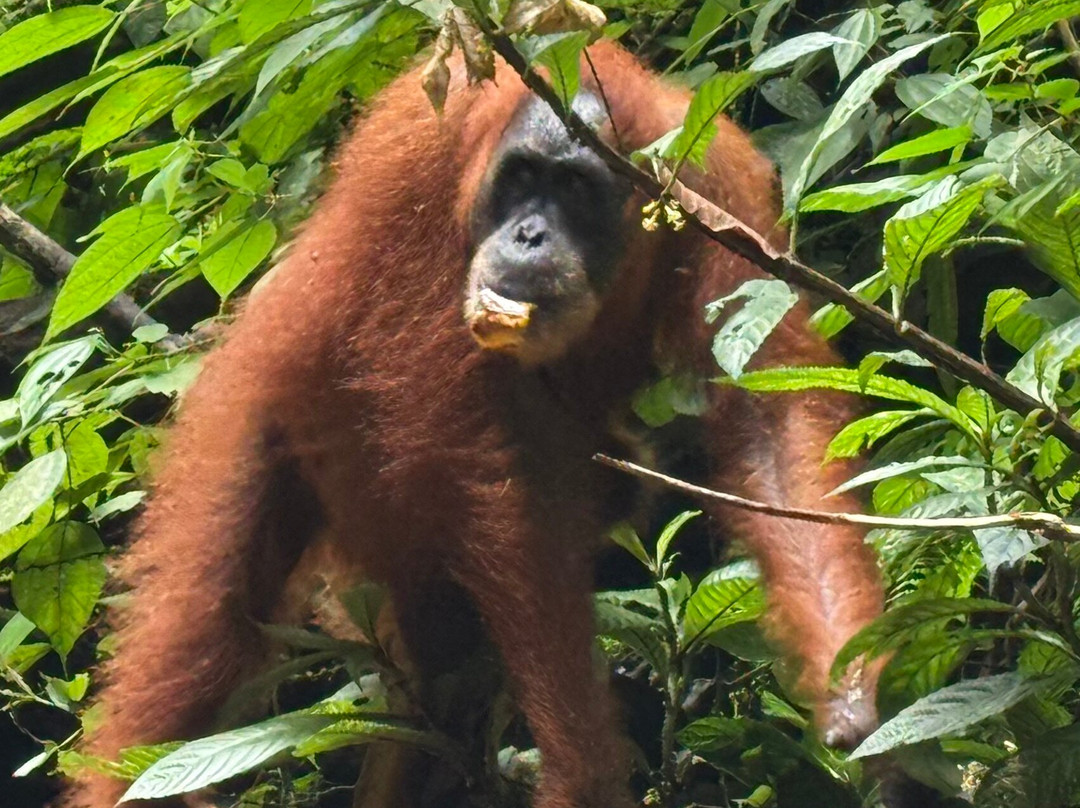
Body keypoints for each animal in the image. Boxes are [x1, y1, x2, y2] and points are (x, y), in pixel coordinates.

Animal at [67, 42, 885, 808]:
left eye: (574, 190)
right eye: (521, 181)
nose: (529, 236)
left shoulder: (722, 197)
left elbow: (769, 411)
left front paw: (851, 691)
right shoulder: (420, 163)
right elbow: (463, 442)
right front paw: (584, 769)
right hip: (252, 412)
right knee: (199, 637)